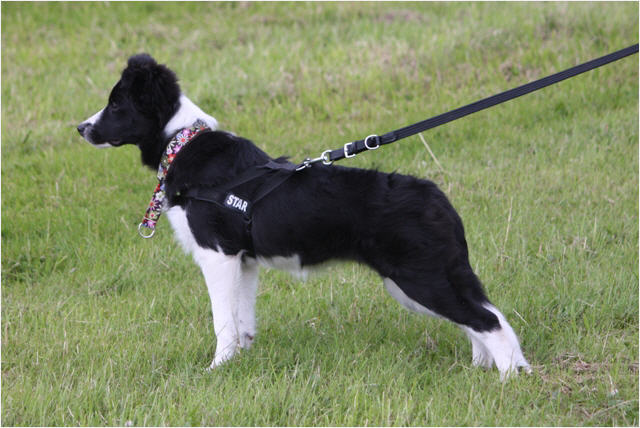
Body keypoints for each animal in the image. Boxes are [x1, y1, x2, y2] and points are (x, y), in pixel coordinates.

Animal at [78, 54, 531, 378]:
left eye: (116, 105)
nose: (80, 129)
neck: (182, 142)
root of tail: (439, 199)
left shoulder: (217, 256)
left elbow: (223, 322)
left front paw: (215, 370)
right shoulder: (244, 261)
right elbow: (243, 321)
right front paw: (240, 364)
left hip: (420, 278)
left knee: (489, 320)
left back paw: (509, 379)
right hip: (428, 277)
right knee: (480, 317)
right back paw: (480, 370)